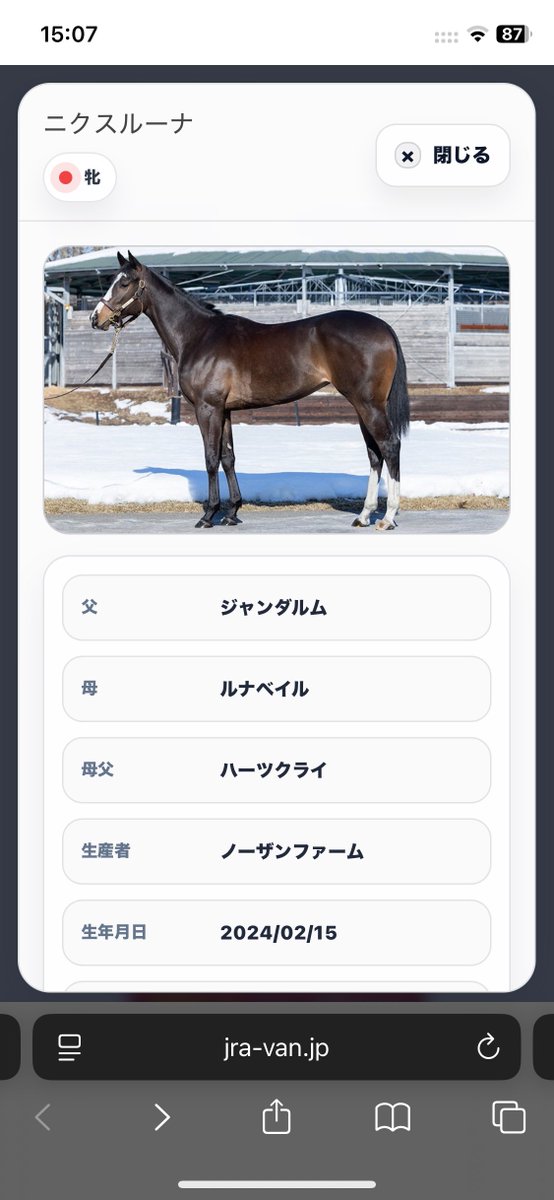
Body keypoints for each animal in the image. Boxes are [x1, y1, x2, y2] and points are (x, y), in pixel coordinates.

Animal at [91, 252, 410, 529]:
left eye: (124, 283)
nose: (96, 318)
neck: (199, 336)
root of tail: (384, 327)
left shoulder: (207, 408)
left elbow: (210, 458)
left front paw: (209, 515)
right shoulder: (225, 411)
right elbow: (228, 458)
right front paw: (232, 512)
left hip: (368, 404)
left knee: (389, 446)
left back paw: (387, 517)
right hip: (363, 406)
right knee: (374, 454)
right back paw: (364, 515)